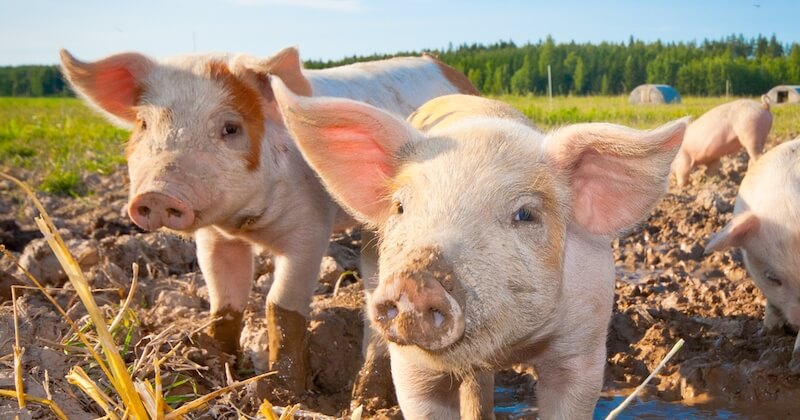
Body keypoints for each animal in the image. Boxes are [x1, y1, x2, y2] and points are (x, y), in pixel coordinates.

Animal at [59, 47, 478, 396]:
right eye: (144, 124)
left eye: (230, 128)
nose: (157, 195)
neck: (247, 224)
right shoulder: (214, 238)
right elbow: (224, 303)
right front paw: (219, 370)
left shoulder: (311, 230)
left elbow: (281, 306)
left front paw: (281, 394)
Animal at [276, 79, 688, 420]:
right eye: (400, 207)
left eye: (525, 214)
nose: (415, 281)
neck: (508, 347)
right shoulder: (412, 367)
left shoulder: (583, 348)